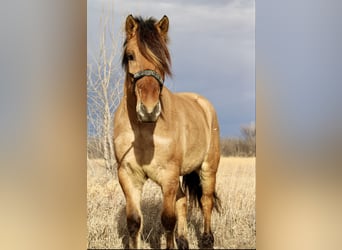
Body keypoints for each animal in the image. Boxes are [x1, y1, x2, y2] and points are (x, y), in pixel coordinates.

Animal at [114, 14, 222, 249]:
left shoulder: (169, 175)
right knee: (182, 200)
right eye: (130, 55)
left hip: (208, 168)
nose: (149, 109)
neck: (143, 131)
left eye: (162, 57)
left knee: (206, 200)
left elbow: (167, 220)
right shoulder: (128, 175)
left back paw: (207, 239)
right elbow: (134, 222)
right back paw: (183, 241)